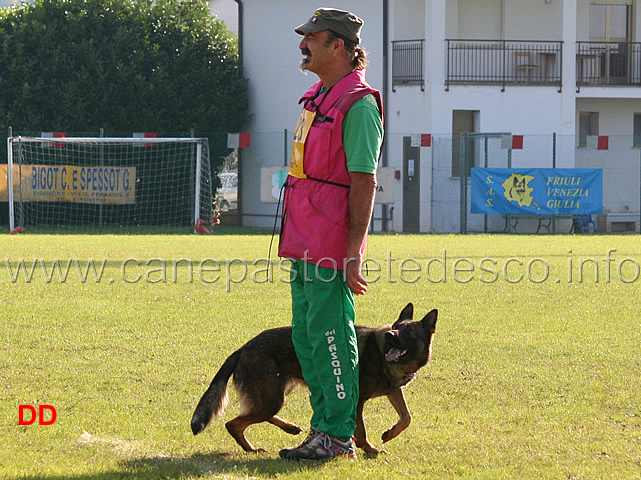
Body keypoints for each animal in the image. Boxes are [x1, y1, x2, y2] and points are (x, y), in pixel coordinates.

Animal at [189, 304, 436, 454]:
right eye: (396, 328)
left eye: (409, 332)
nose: (390, 335)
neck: (383, 355)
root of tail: (242, 349)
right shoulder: (356, 400)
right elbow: (361, 429)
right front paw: (368, 449)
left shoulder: (393, 391)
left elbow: (406, 417)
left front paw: (389, 434)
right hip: (271, 398)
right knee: (233, 423)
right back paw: (251, 448)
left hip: (274, 395)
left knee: (250, 415)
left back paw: (288, 429)